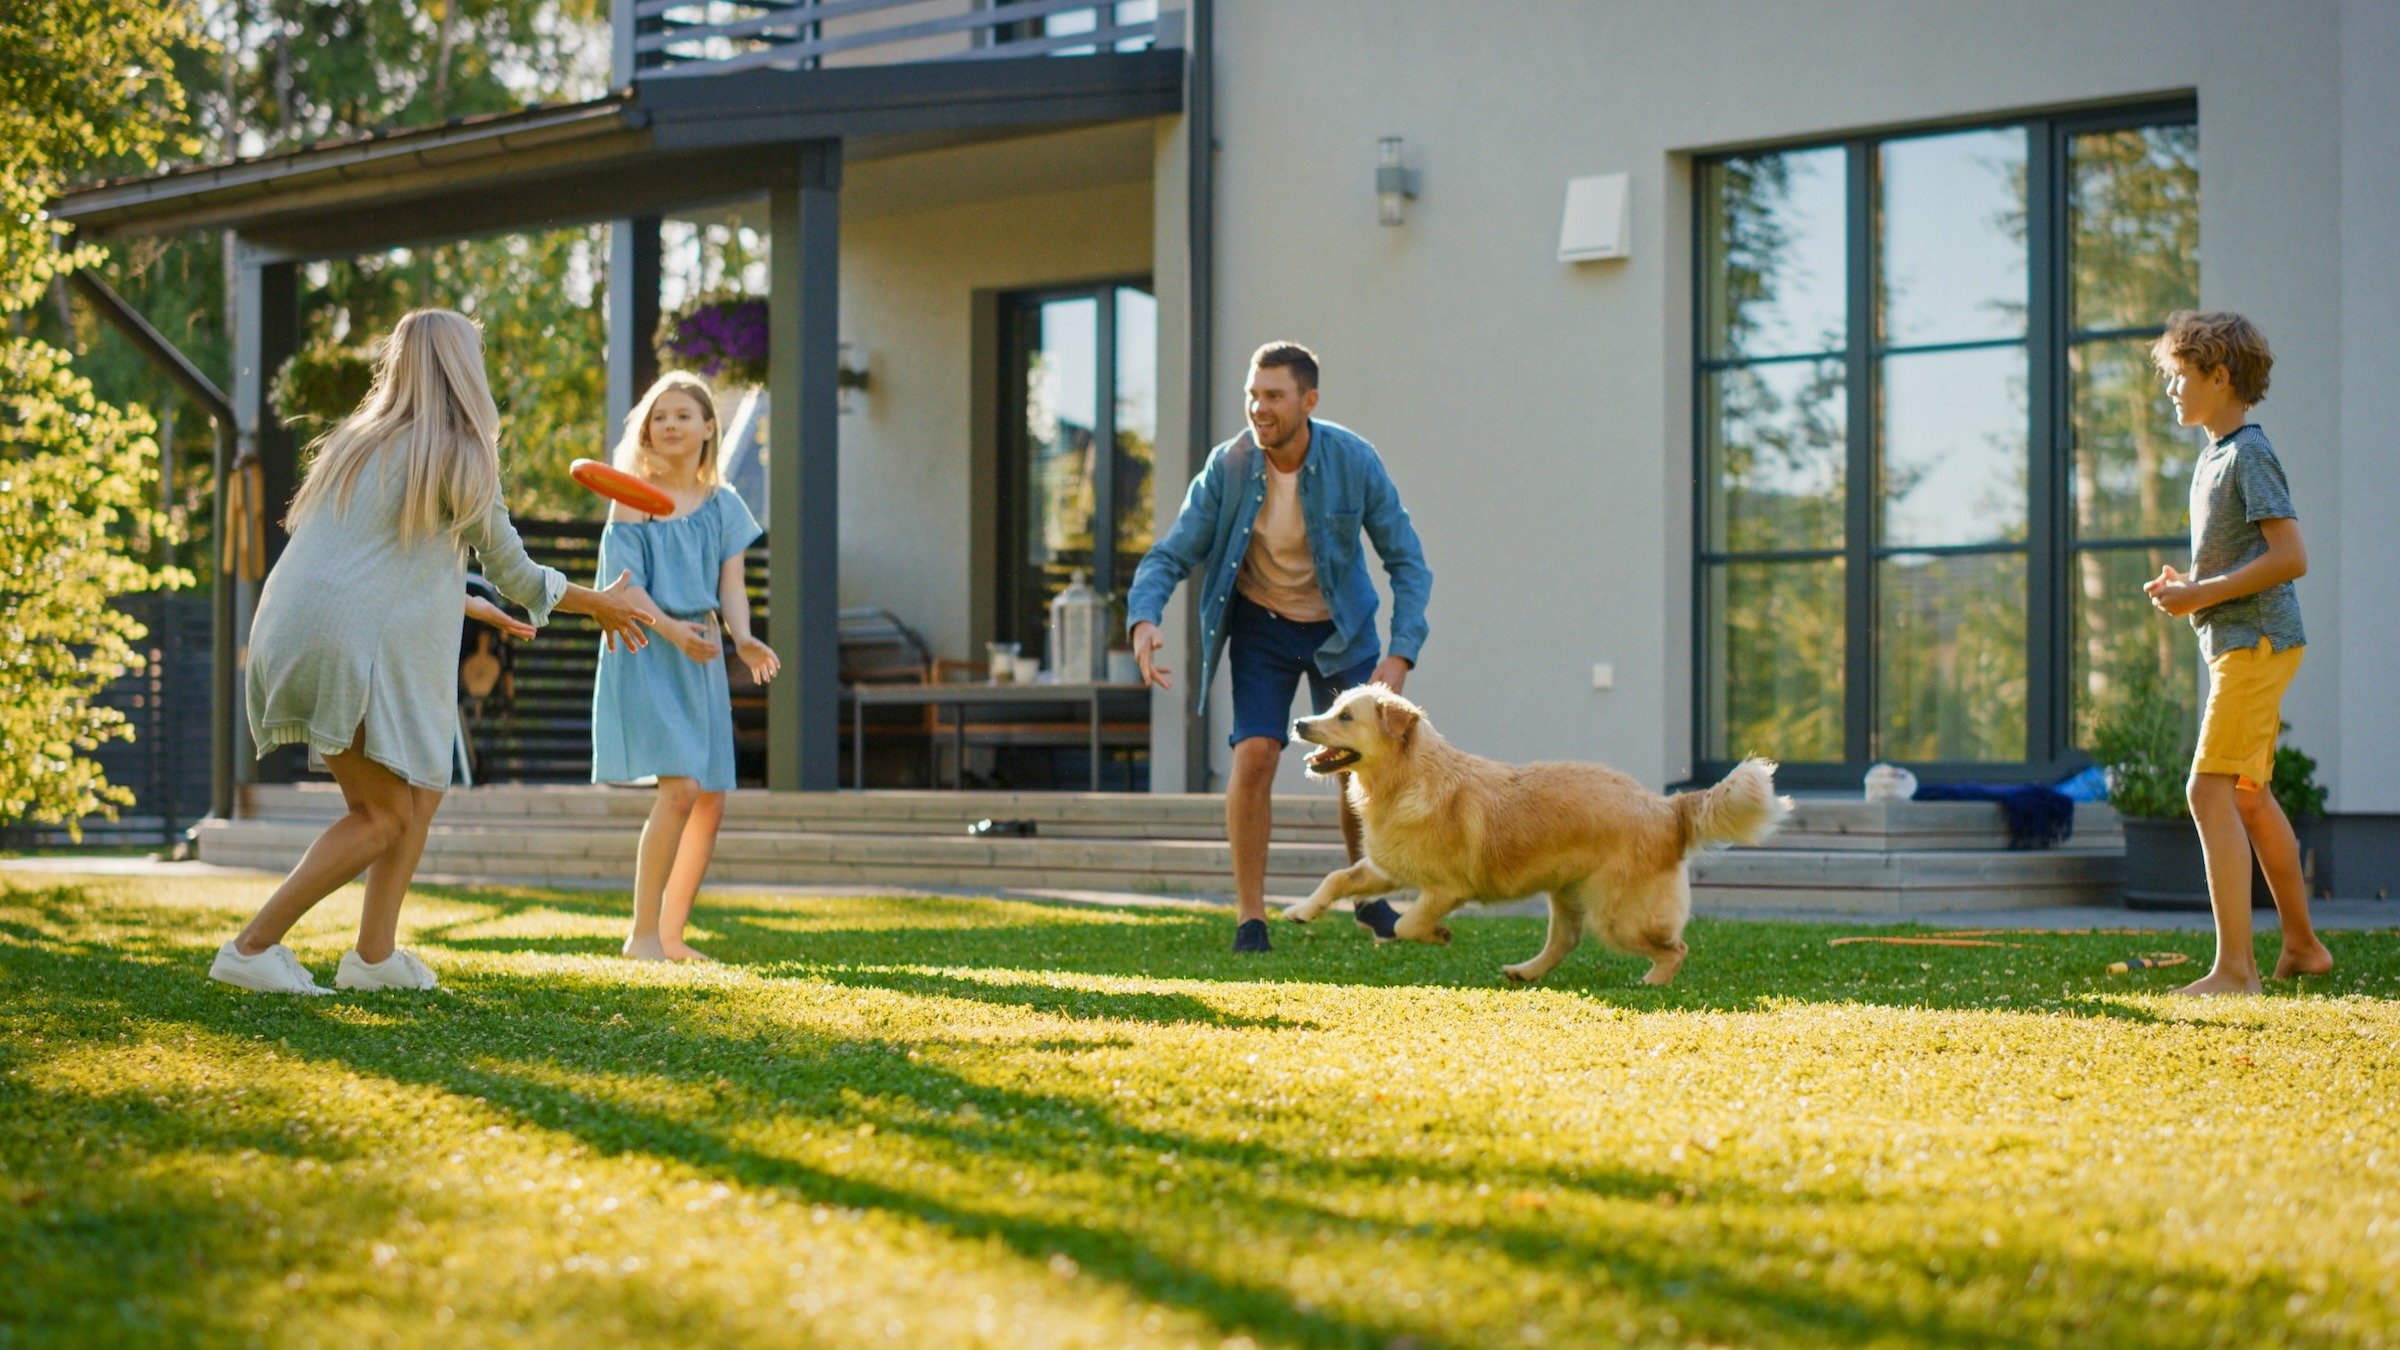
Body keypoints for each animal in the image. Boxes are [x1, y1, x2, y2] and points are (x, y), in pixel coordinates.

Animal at [1296, 687, 1785, 984]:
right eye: (1332, 708)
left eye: (1345, 716)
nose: (1300, 723)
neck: (1406, 778)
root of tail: (1667, 806)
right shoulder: (1387, 868)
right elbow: (1338, 878)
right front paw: (1303, 910)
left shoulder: (1449, 888)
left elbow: (1405, 922)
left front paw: (1438, 935)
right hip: (1567, 894)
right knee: (1564, 942)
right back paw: (1526, 971)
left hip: (1617, 917)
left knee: (1676, 947)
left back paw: (1651, 982)